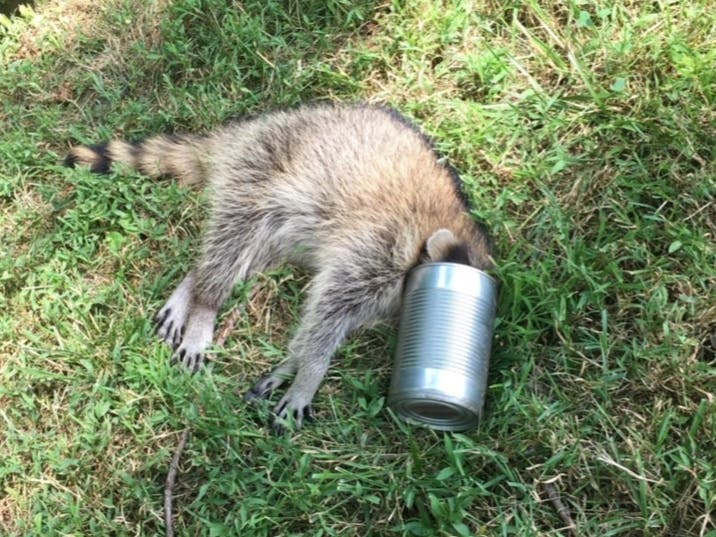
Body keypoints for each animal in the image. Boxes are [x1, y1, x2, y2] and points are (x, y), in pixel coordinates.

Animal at [65, 104, 494, 430]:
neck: (444, 232)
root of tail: (247, 129)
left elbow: (323, 322)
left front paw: (292, 362)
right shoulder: (377, 249)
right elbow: (326, 311)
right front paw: (310, 373)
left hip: (288, 224)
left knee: (247, 255)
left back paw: (194, 282)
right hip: (257, 173)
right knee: (231, 241)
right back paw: (205, 303)